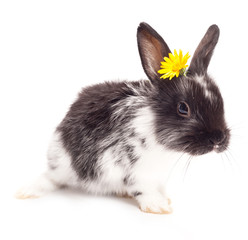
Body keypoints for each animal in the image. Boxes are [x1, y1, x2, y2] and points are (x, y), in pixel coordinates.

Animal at [16, 22, 231, 214]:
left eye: (221, 101)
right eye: (183, 108)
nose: (218, 139)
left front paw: (165, 199)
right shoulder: (136, 171)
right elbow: (144, 190)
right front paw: (159, 207)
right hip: (62, 163)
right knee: (50, 178)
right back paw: (26, 192)